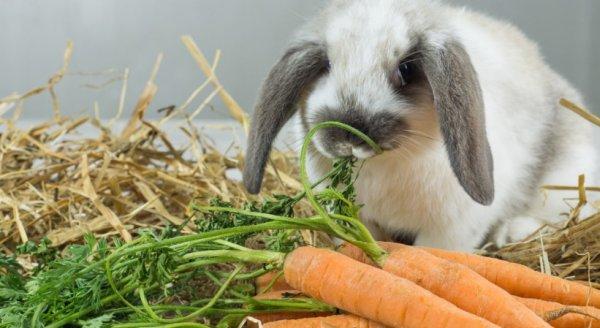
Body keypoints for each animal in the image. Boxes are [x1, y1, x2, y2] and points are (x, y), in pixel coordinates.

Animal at [241, 0, 596, 251]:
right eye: (326, 65)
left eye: (407, 70)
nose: (347, 138)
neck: (385, 164)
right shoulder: (359, 218)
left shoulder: (450, 229)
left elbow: (431, 253)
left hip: (564, 181)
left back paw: (512, 232)